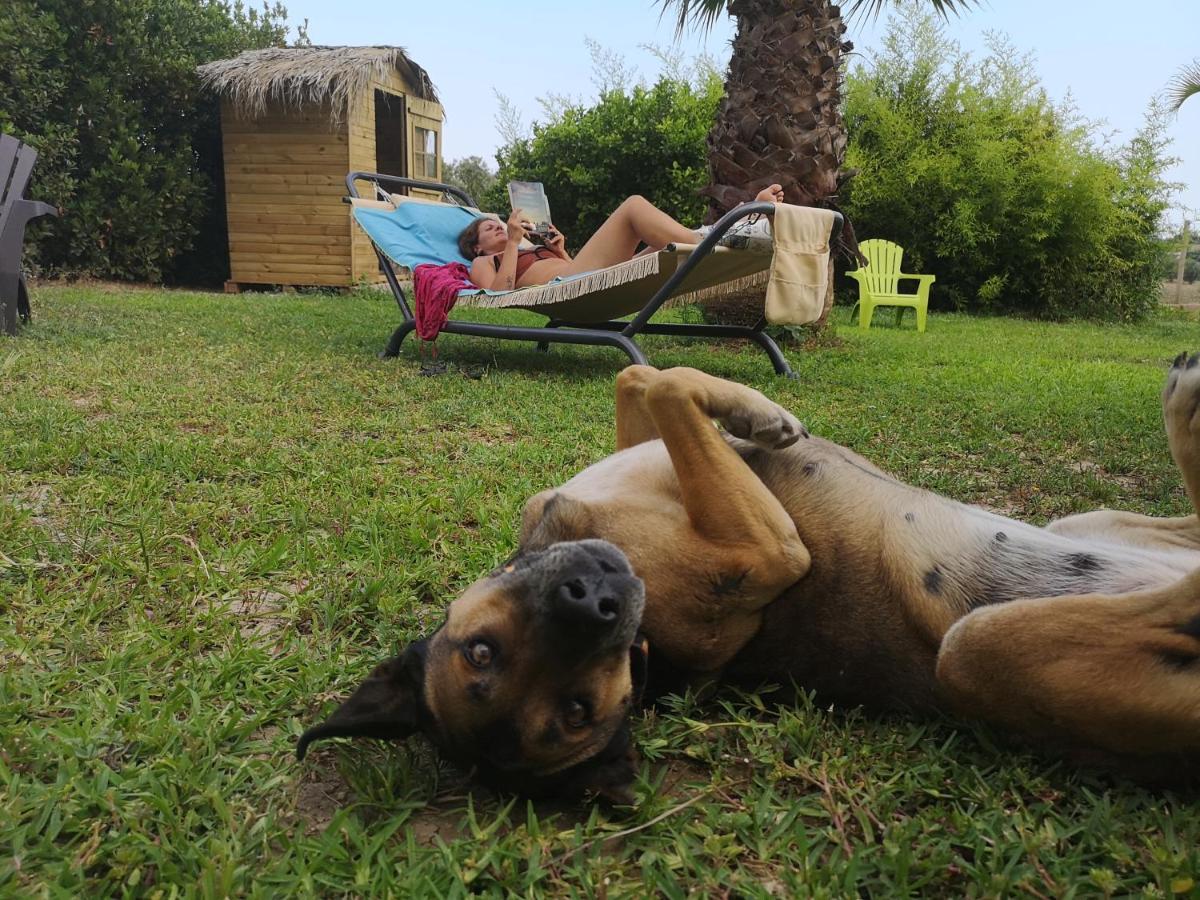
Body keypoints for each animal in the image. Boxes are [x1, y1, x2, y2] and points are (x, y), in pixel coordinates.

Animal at [297, 362, 1200, 801]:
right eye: (577, 714)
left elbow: (641, 379)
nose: (599, 601)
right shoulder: (769, 553)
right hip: (974, 654)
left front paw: (746, 410)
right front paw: (760, 413)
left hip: (1085, 522)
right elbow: (667, 386)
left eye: (477, 649)